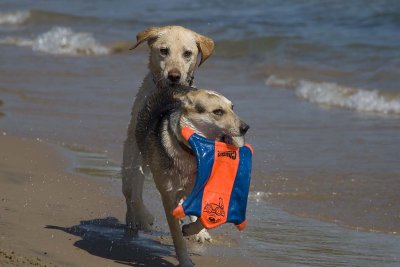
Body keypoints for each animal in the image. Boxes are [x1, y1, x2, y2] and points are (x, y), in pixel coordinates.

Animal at [122, 26, 216, 241]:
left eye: (187, 53)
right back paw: (134, 218)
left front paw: (199, 230)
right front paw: (143, 216)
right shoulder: (139, 144)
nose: (174, 76)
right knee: (130, 189)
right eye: (164, 51)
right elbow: (135, 186)